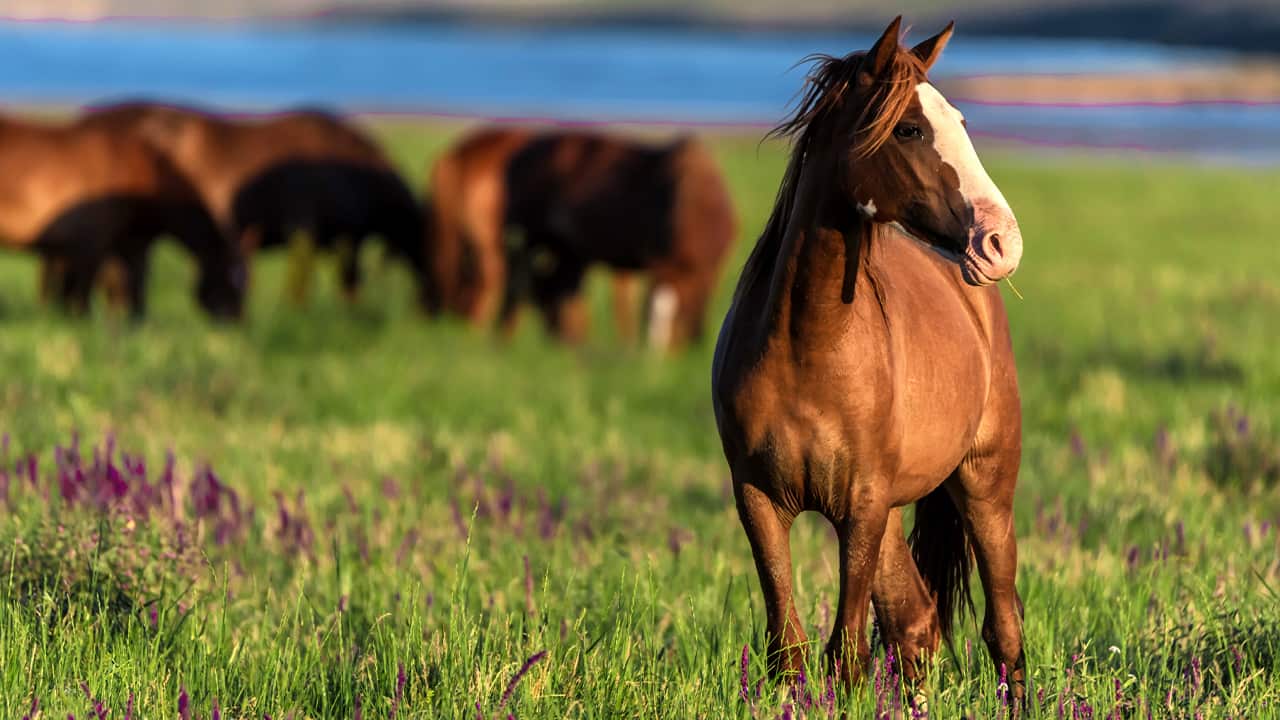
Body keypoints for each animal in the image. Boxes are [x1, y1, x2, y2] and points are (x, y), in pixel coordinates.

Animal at [0, 113, 245, 319]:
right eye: (233, 279)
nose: (234, 321)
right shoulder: (92, 244)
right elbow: (85, 292)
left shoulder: (126, 244)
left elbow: (130, 285)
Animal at [499, 130, 737, 349]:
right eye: (647, 313)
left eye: (681, 314)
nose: (655, 359)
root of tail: (518, 156)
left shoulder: (711, 270)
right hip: (525, 240)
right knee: (517, 287)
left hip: (565, 252)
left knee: (557, 293)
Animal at [711, 17, 1026, 700]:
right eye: (909, 128)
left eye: (961, 121)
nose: (1001, 242)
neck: (809, 348)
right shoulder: (760, 501)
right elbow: (790, 652)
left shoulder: (861, 506)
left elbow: (846, 656)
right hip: (893, 516)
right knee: (917, 624)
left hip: (984, 489)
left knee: (1003, 632)